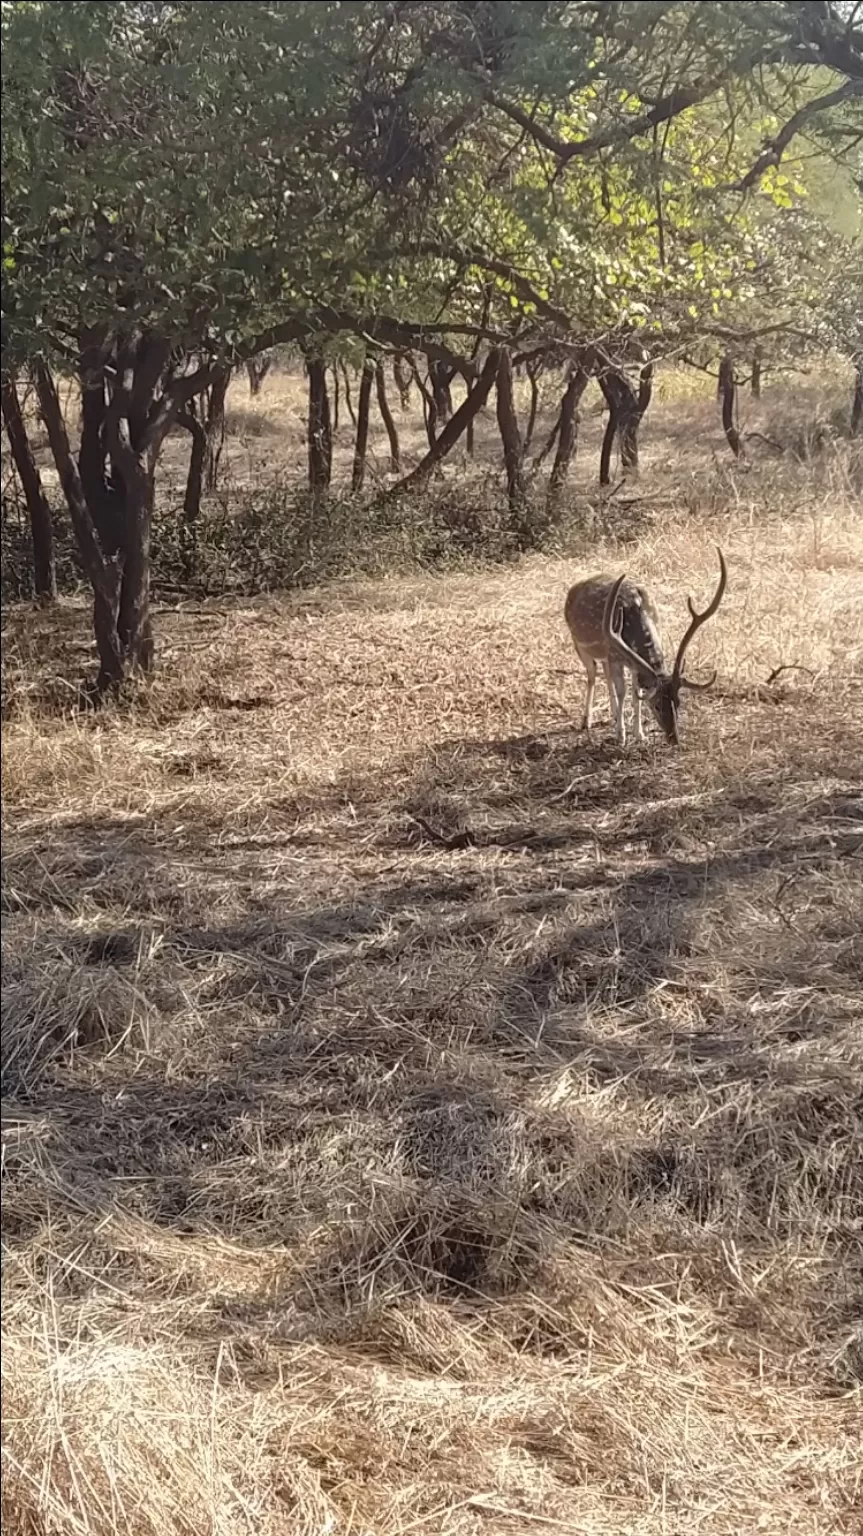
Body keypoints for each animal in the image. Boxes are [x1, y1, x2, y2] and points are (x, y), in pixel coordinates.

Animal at [565, 549, 724, 746]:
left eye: (678, 702)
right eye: (656, 705)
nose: (674, 737)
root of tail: (573, 589)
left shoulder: (631, 662)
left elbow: (636, 693)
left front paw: (639, 733)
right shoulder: (616, 655)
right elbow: (623, 692)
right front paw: (621, 736)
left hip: (604, 654)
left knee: (605, 674)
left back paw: (613, 715)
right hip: (579, 644)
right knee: (592, 675)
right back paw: (586, 720)